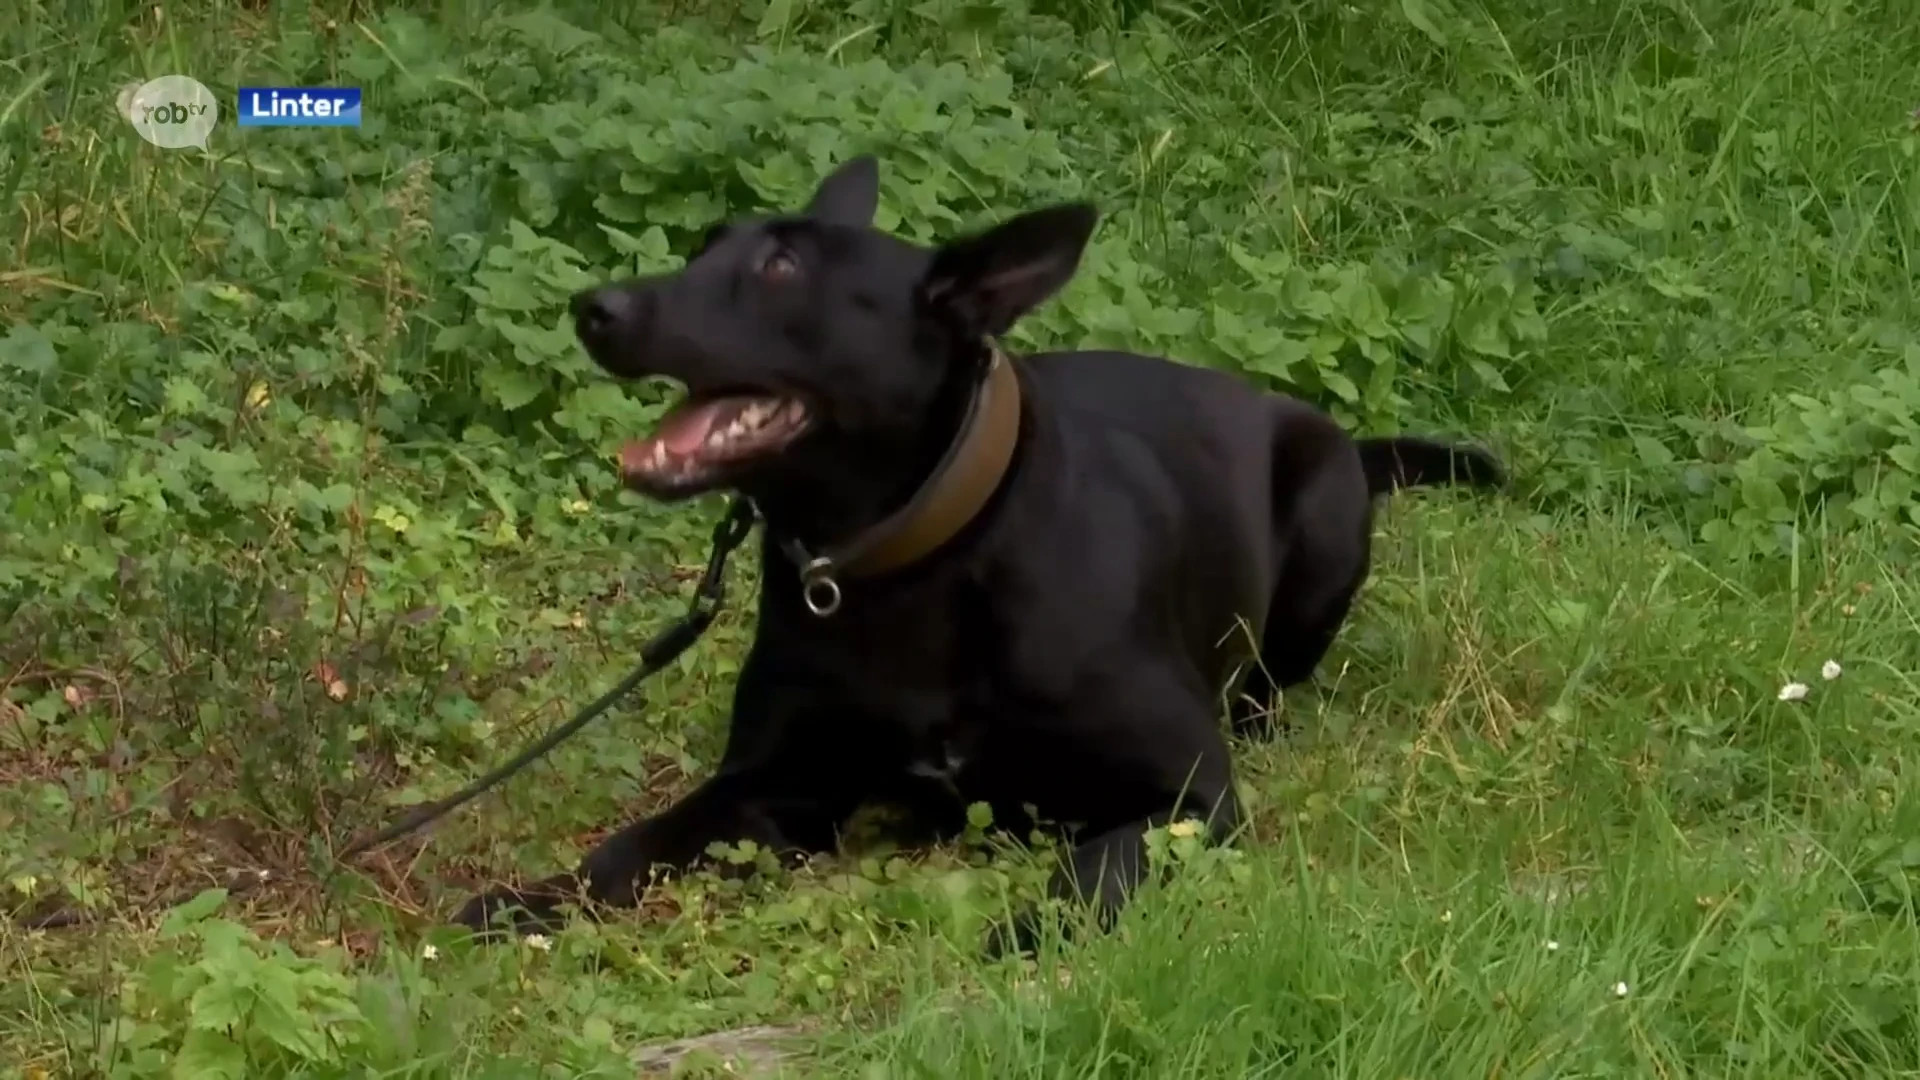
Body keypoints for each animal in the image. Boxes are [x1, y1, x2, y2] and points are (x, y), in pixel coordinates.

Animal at [456, 155, 1505, 937]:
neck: (911, 563)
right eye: (707, 244)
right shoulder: (771, 789)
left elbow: (1096, 872)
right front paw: (530, 901)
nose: (594, 307)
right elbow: (632, 846)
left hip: (1325, 526)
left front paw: (1026, 929)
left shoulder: (1191, 798)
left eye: (783, 268)